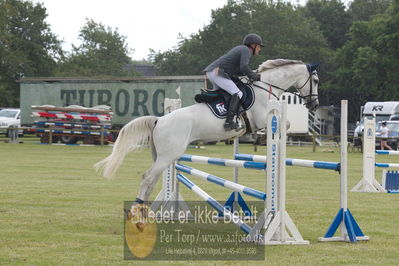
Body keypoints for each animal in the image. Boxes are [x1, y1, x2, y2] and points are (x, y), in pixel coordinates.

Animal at [95, 58, 320, 204]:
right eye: (316, 81)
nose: (315, 104)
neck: (265, 88)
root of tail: (159, 120)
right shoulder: (263, 118)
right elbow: (285, 124)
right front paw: (270, 139)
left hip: (160, 155)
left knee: (152, 180)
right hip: (169, 155)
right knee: (147, 178)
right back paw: (137, 212)